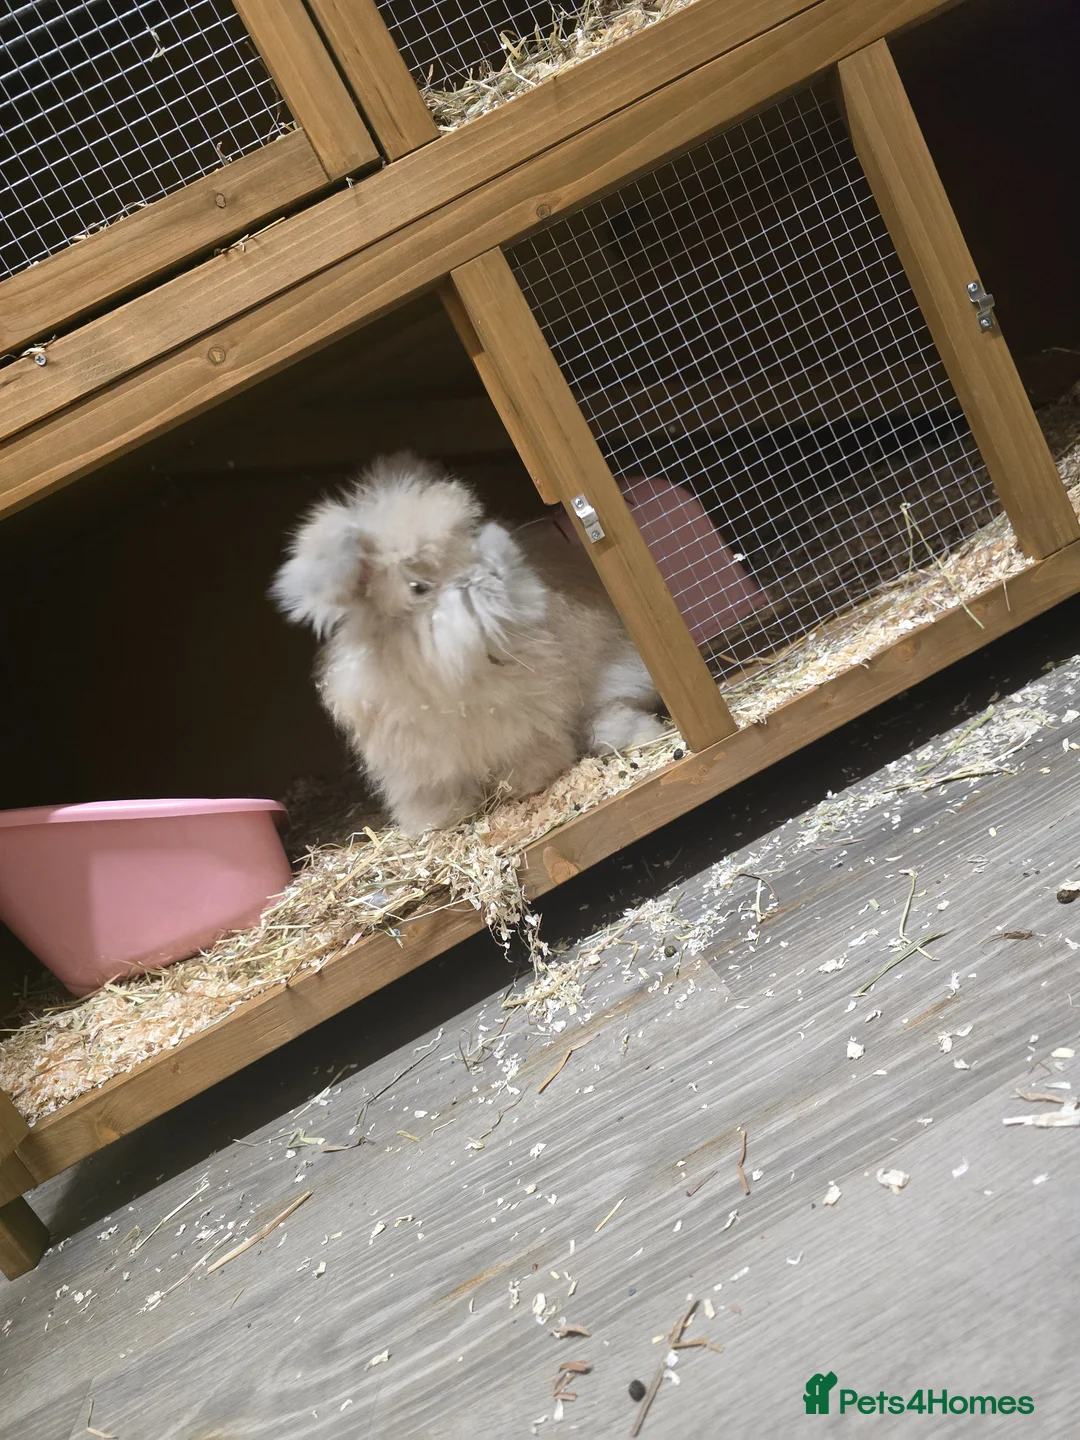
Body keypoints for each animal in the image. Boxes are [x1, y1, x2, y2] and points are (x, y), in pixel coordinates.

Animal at [271, 453, 666, 835]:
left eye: (466, 546)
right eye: (417, 587)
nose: (490, 575)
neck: (435, 674)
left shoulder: (523, 726)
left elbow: (531, 757)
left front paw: (528, 784)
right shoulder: (415, 765)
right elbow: (434, 799)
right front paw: (433, 824)